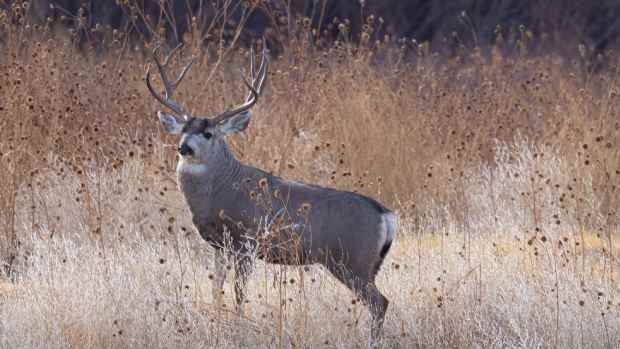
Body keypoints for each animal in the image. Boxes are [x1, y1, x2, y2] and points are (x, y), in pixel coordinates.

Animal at [145, 44, 398, 340]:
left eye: (208, 133)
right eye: (183, 130)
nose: (183, 147)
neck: (221, 191)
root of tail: (385, 215)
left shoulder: (247, 240)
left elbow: (239, 291)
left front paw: (239, 326)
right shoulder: (219, 244)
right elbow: (216, 288)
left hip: (352, 259)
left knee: (380, 302)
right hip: (367, 264)